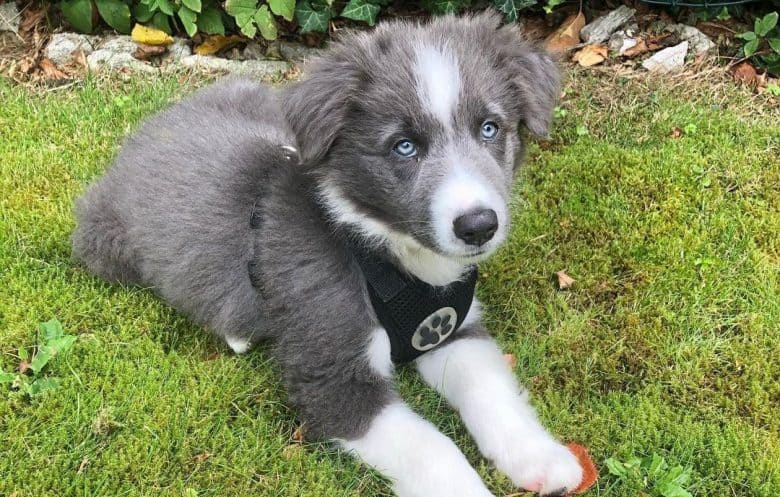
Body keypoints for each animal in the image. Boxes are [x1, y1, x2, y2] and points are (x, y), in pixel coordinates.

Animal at [73, 10, 580, 496]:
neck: (383, 254)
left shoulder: (450, 331)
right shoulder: (334, 378)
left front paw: (542, 458)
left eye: (489, 128)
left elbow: (493, 392)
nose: (478, 226)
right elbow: (433, 448)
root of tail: (147, 129)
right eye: (404, 146)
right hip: (105, 242)